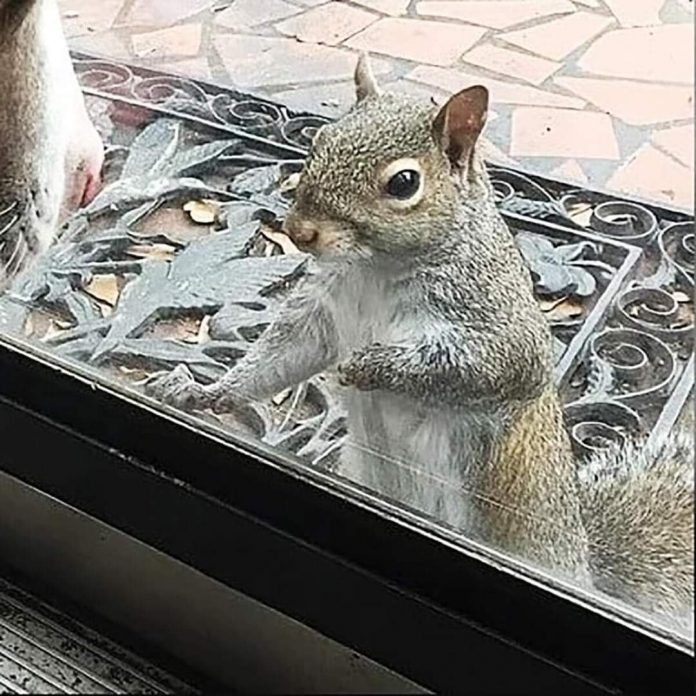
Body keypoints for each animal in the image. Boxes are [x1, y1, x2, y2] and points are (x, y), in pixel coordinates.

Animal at [146, 54, 694, 628]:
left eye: (404, 183)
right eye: (321, 139)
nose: (299, 232)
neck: (376, 269)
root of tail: (581, 563)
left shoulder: (498, 322)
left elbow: (483, 366)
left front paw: (370, 365)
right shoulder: (322, 312)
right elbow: (280, 356)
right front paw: (207, 392)